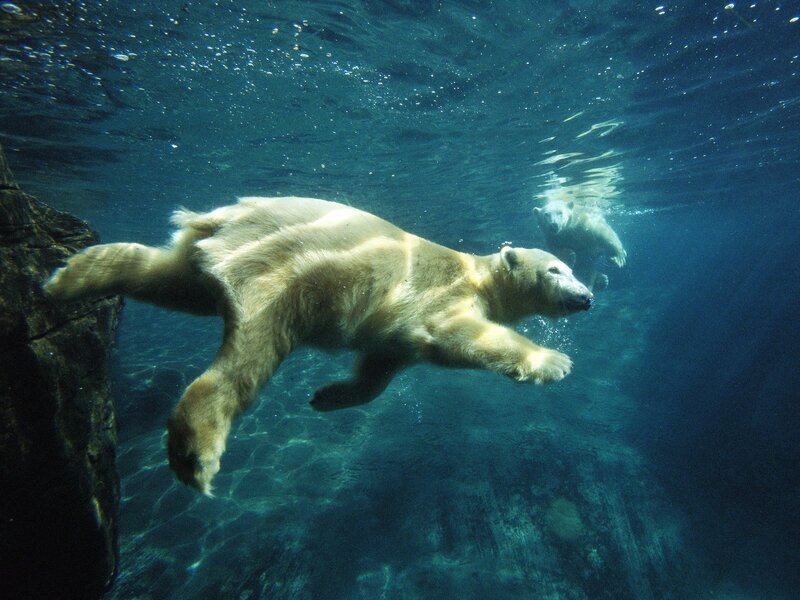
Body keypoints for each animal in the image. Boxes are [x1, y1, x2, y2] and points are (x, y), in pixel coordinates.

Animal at [45, 196, 593, 494]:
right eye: (556, 269)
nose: (587, 297)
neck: (477, 273)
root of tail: (222, 217)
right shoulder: (441, 296)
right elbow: (456, 336)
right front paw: (554, 360)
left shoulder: (393, 333)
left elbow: (380, 367)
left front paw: (327, 396)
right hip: (284, 272)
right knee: (246, 358)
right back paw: (196, 453)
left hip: (218, 261)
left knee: (167, 278)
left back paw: (70, 275)